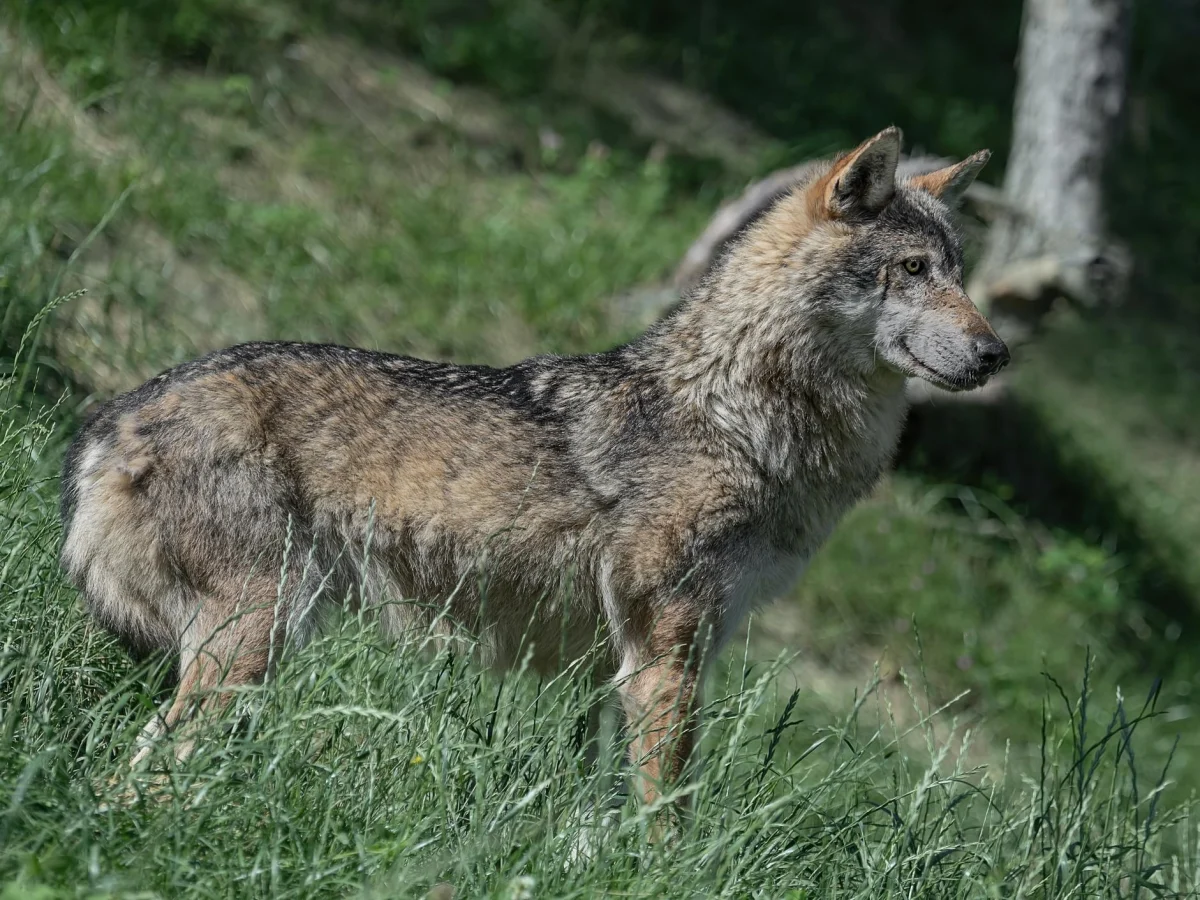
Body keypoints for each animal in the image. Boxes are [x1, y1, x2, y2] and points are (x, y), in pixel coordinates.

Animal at [60, 127, 1006, 808]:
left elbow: (596, 807)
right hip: (255, 639)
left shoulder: (617, 669)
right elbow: (667, 810)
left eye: (960, 275)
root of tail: (116, 413)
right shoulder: (666, 654)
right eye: (914, 271)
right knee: (132, 777)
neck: (740, 423)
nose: (998, 353)